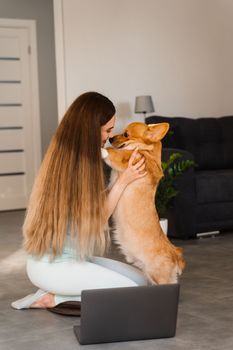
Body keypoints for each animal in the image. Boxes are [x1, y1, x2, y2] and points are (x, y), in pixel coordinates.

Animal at [107, 121, 186, 284]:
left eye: (126, 134)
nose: (110, 138)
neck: (147, 152)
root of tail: (175, 253)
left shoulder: (124, 159)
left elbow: (109, 152)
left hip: (159, 276)